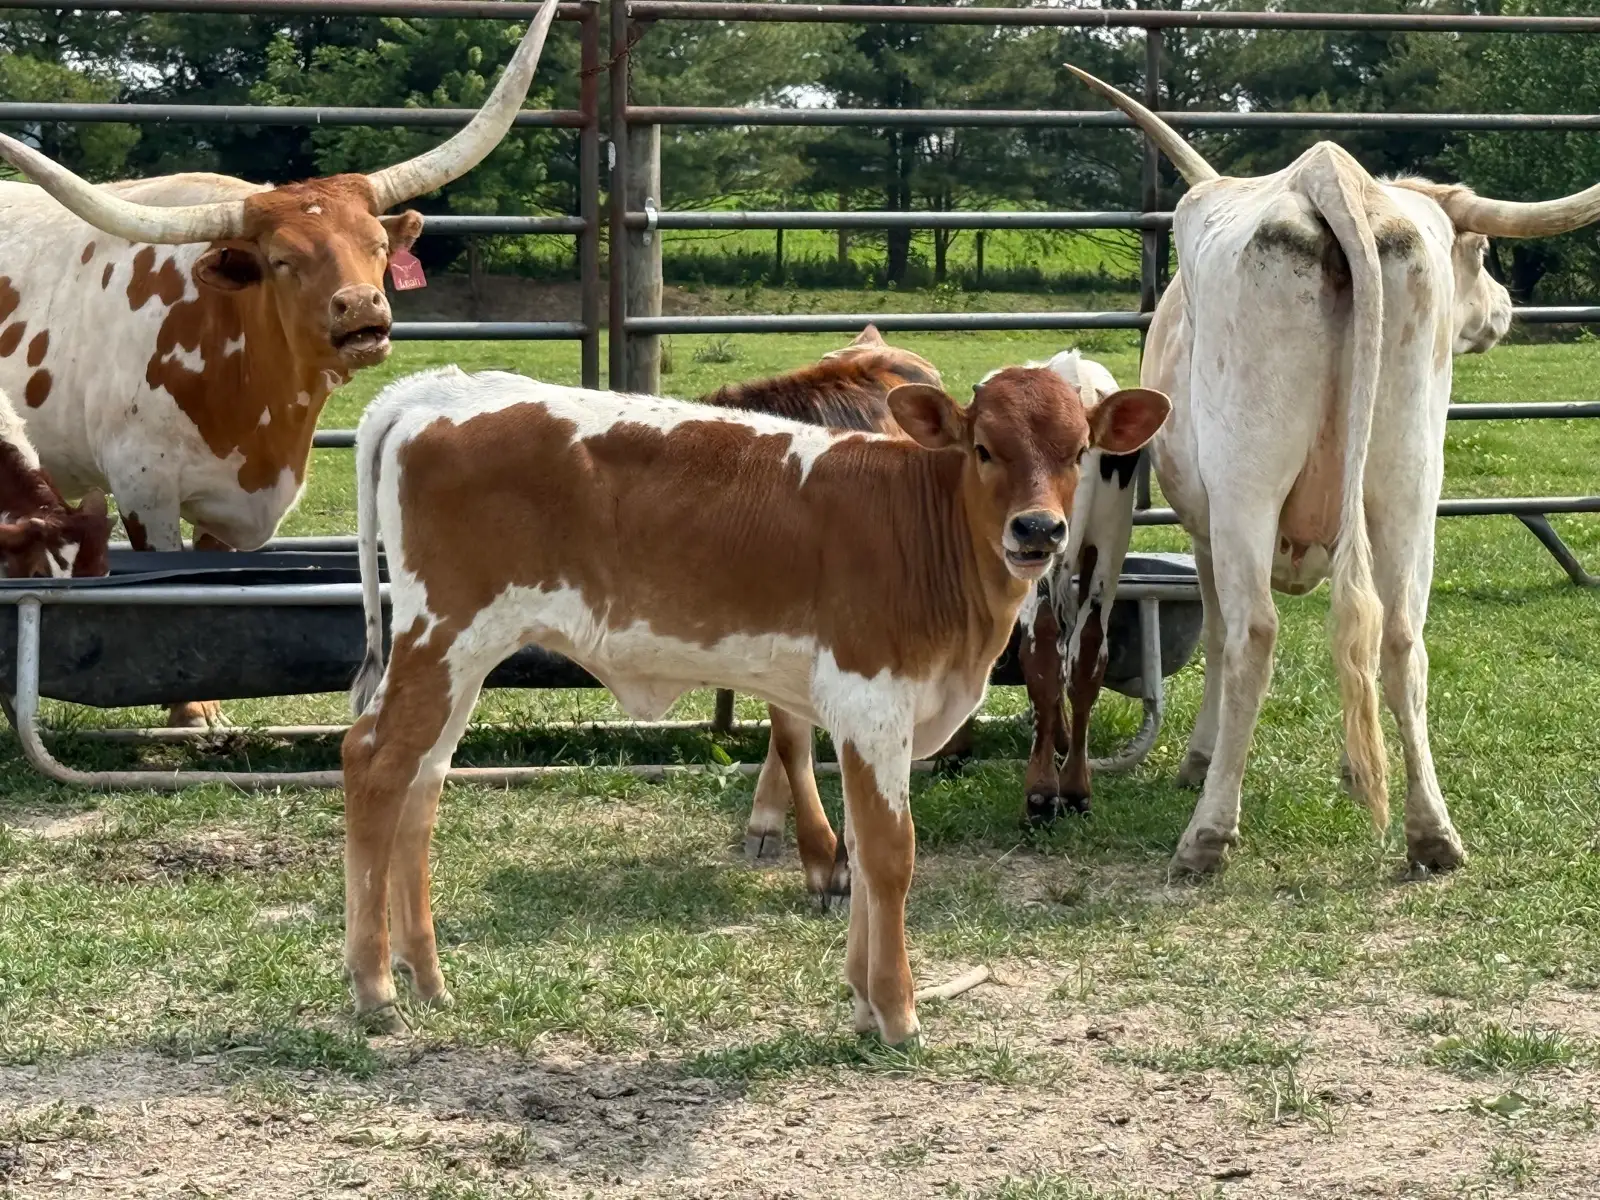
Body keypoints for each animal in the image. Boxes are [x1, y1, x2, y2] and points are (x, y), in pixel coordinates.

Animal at [1070, 65, 1600, 875]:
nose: (1506, 308)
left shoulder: (1205, 530)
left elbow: (1219, 635)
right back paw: (1432, 833)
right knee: (1400, 635)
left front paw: (1201, 760)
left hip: (1249, 488)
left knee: (1255, 633)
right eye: (1481, 253)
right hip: (1406, 484)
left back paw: (1207, 834)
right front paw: (1354, 771)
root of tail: (1331, 175)